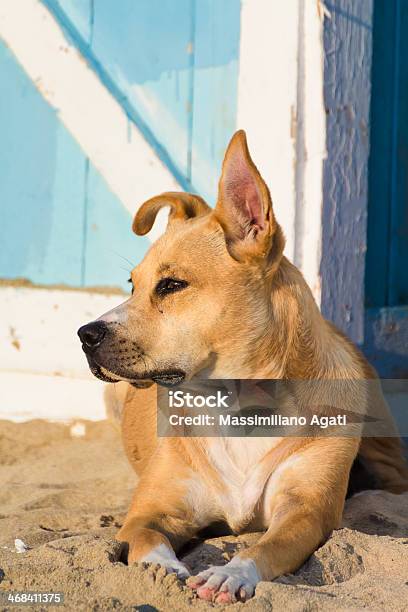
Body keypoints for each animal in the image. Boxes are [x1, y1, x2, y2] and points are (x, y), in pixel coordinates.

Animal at [77, 129, 408, 604]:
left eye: (172, 285)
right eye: (132, 284)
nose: (84, 335)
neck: (237, 409)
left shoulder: (304, 511)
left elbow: (264, 546)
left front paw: (231, 573)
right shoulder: (148, 512)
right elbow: (146, 542)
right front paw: (163, 570)